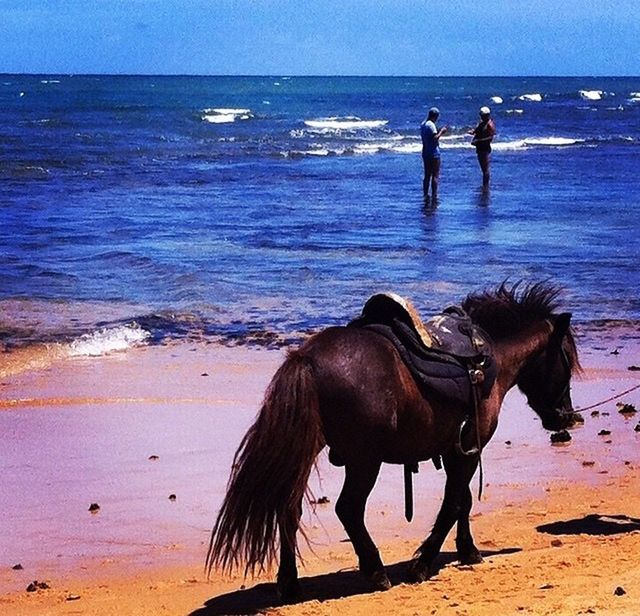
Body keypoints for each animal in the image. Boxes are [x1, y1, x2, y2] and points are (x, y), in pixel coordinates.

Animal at [205, 282, 580, 604]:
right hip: (364, 461)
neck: (491, 359)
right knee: (348, 509)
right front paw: (423, 564)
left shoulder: (457, 452)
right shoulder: (466, 452)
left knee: (288, 507)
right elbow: (454, 503)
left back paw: (289, 583)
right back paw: (375, 571)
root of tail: (307, 358)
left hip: (311, 452)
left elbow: (464, 501)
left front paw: (468, 550)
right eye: (566, 360)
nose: (565, 417)